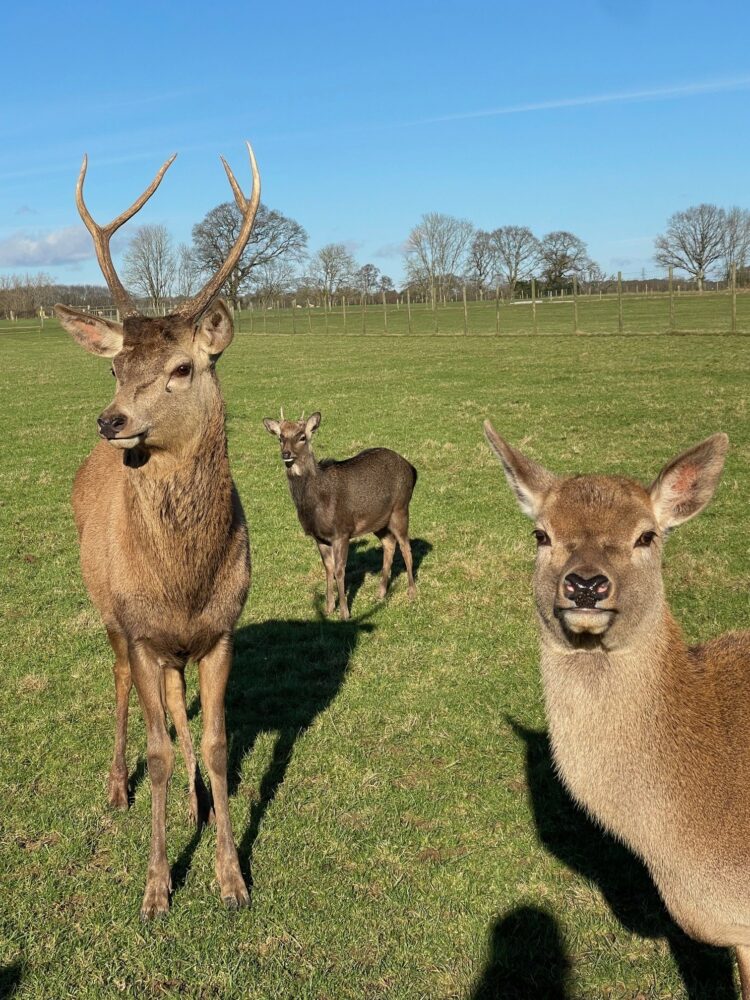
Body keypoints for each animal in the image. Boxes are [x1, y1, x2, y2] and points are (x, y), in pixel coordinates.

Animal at [55, 143, 262, 920]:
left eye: (181, 367)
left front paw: (232, 877)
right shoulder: (141, 629)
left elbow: (216, 744)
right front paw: (156, 888)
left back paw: (197, 804)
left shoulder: (223, 629)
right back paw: (117, 787)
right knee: (119, 686)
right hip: (110, 614)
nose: (111, 420)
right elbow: (160, 752)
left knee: (177, 706)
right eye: (116, 364)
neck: (183, 584)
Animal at [262, 408, 418, 616]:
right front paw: (328, 608)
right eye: (281, 437)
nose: (286, 453)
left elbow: (339, 570)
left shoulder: (341, 531)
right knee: (389, 543)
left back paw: (411, 592)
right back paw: (381, 593)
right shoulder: (319, 536)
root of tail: (412, 469)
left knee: (406, 546)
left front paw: (345, 612)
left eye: (302, 436)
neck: (315, 504)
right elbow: (328, 569)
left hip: (400, 508)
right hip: (379, 520)